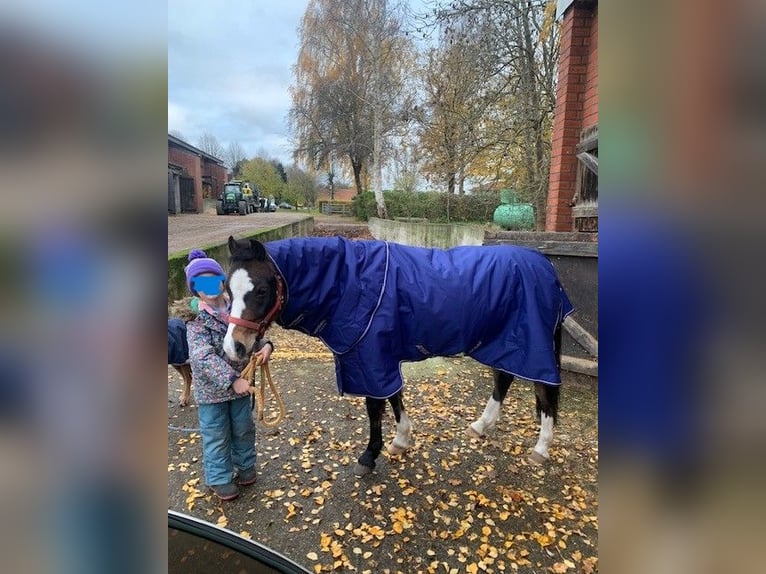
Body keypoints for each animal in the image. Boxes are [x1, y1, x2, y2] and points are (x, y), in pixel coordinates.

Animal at [225, 236, 572, 480]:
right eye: (228, 290)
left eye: (260, 291)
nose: (234, 348)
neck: (350, 282)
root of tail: (547, 268)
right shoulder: (381, 357)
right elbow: (394, 397)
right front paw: (401, 440)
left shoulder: (371, 358)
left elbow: (375, 406)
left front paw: (369, 455)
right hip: (504, 343)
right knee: (504, 378)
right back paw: (480, 426)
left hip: (532, 344)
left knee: (544, 389)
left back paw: (541, 449)